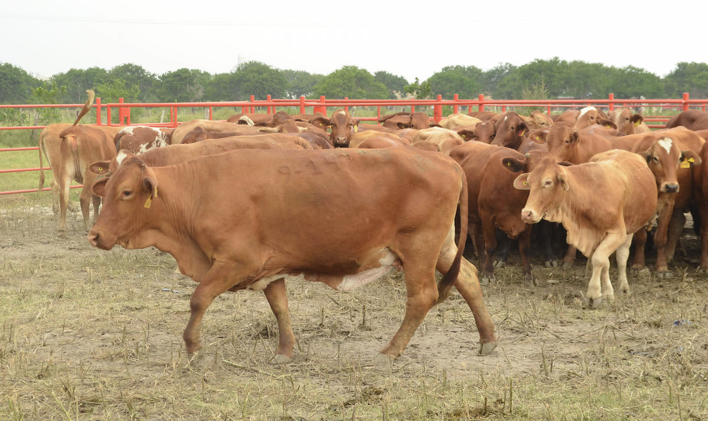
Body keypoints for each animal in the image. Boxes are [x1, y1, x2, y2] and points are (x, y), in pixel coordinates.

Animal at [87, 148, 498, 360]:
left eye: (126, 192)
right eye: (107, 188)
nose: (95, 235)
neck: (199, 190)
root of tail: (446, 160)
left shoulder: (235, 262)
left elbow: (198, 299)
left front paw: (192, 346)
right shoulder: (270, 266)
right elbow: (280, 306)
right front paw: (286, 350)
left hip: (418, 249)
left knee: (422, 297)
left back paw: (391, 351)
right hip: (441, 248)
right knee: (468, 279)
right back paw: (487, 339)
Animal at [516, 149, 660, 306]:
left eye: (548, 182)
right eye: (529, 182)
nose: (526, 213)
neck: (590, 193)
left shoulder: (617, 233)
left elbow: (599, 259)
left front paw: (594, 295)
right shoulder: (592, 235)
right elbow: (604, 262)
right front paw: (606, 293)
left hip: (631, 227)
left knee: (622, 255)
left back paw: (623, 287)